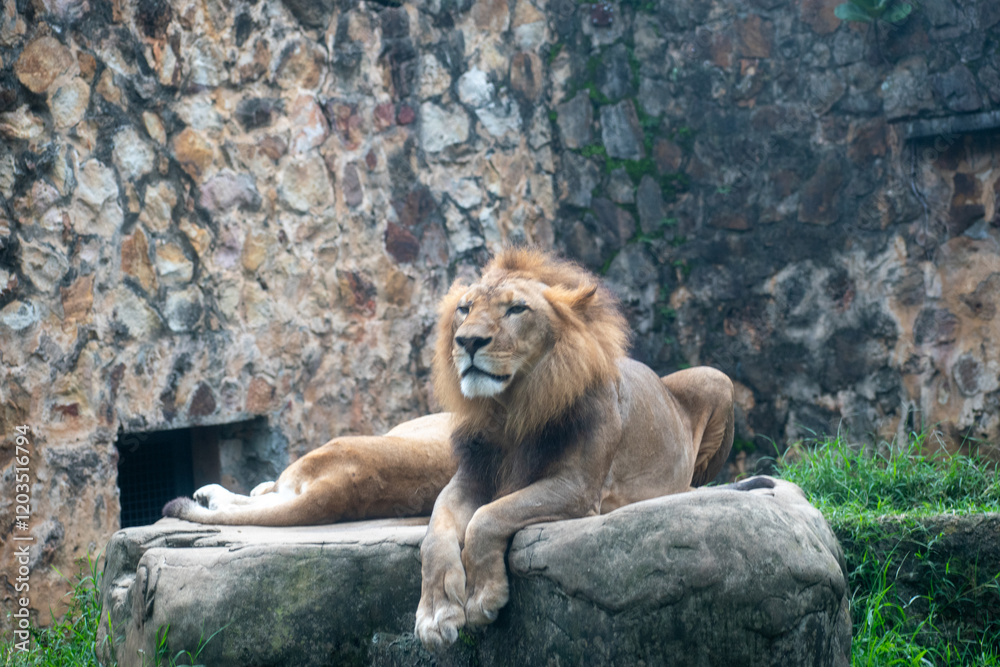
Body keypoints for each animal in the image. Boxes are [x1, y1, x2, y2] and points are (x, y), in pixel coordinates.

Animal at [413, 247, 736, 651]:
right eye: (464, 308)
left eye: (516, 309)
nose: (468, 341)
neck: (510, 411)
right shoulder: (469, 479)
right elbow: (434, 534)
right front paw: (436, 613)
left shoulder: (577, 487)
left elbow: (488, 516)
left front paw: (482, 596)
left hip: (715, 376)